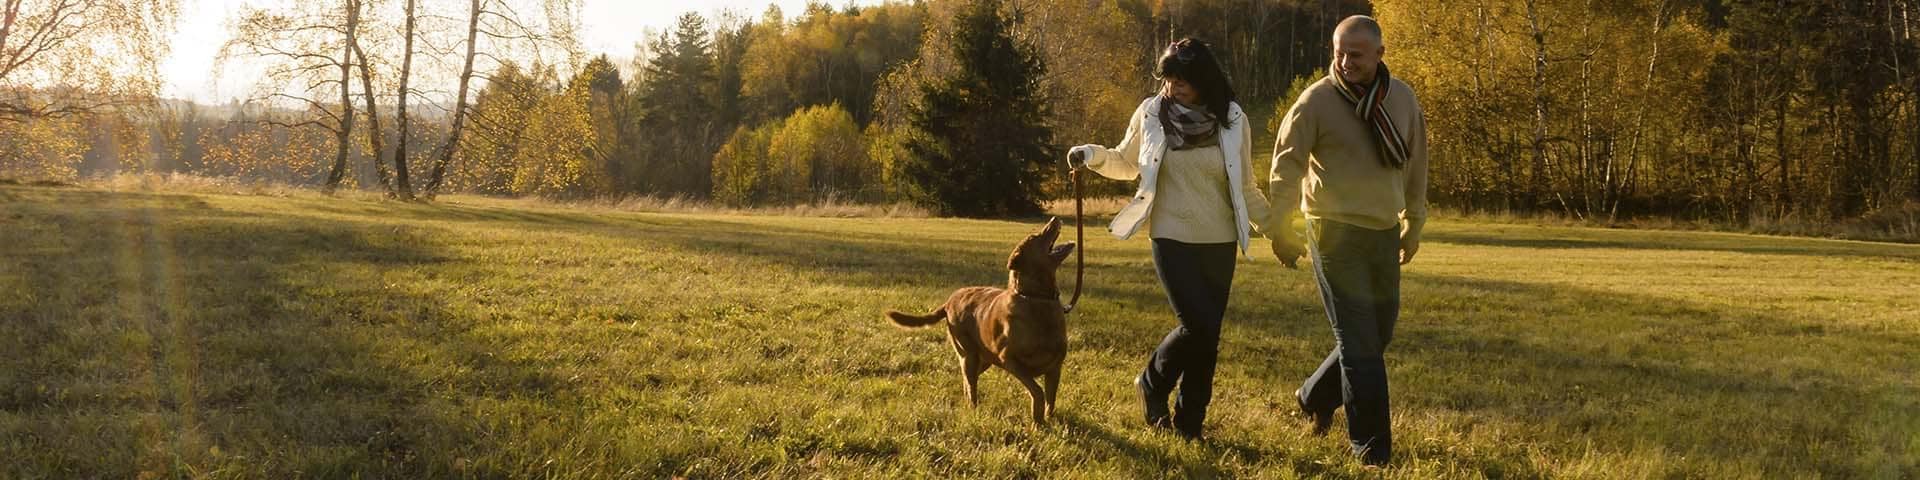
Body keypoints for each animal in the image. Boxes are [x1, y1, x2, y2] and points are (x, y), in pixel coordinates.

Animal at [887, 217, 1082, 424]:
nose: (1054, 219)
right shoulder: (1010, 360)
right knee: (971, 384)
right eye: (1034, 237)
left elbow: (1051, 398)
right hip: (969, 354)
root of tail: (949, 301)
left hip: (984, 358)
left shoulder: (1055, 367)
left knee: (967, 381)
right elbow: (1037, 392)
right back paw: (972, 409)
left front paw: (1047, 420)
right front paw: (1038, 421)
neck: (1036, 297)